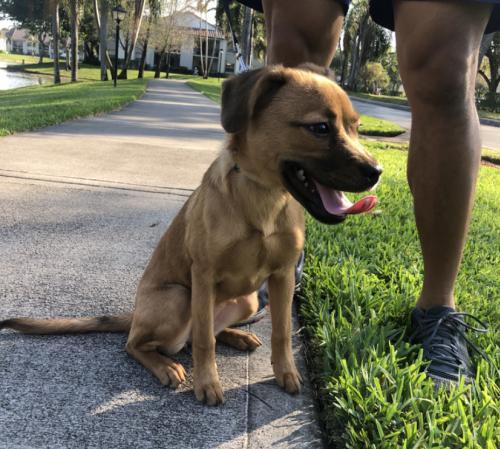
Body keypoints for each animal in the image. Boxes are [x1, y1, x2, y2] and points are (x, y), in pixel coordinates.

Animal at [1, 64, 380, 406]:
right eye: (320, 127)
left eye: (356, 127)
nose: (376, 172)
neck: (264, 199)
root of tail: (135, 316)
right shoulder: (203, 275)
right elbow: (202, 342)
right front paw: (208, 383)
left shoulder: (283, 275)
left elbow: (282, 331)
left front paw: (285, 372)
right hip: (178, 297)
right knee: (139, 344)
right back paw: (165, 366)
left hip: (248, 299)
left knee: (205, 330)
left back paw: (237, 336)